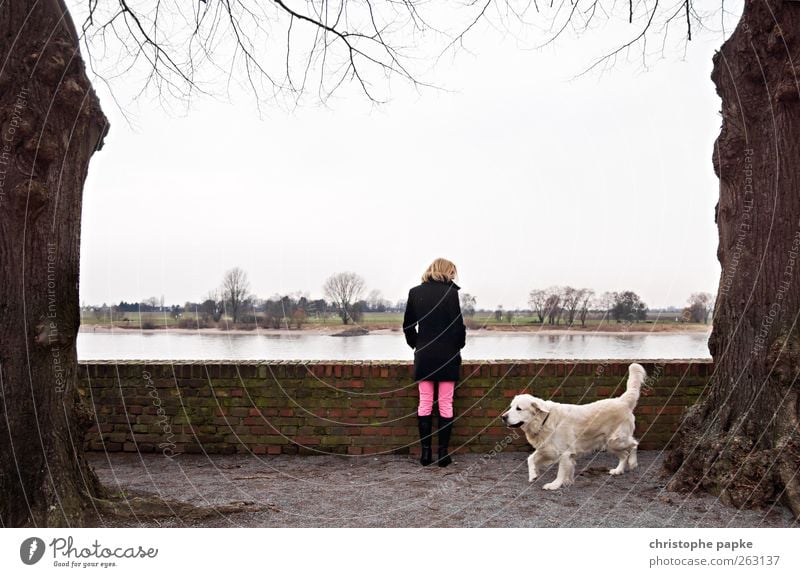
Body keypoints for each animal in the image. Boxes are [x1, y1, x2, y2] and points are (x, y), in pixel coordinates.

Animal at [504, 362, 648, 488]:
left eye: (518, 408)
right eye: (510, 407)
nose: (503, 417)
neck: (544, 421)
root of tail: (622, 400)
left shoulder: (565, 453)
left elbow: (561, 472)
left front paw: (554, 485)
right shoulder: (548, 448)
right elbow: (530, 458)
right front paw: (533, 475)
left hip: (616, 440)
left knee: (634, 444)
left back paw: (633, 462)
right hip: (609, 444)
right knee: (624, 454)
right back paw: (618, 470)